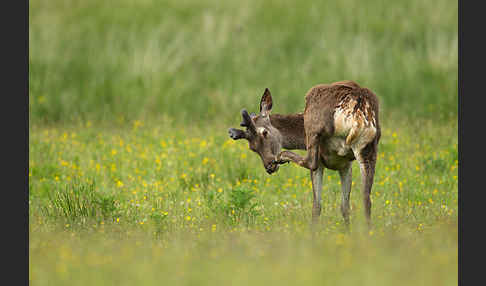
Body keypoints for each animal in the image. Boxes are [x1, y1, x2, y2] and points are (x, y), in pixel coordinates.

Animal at [228, 80, 380, 228]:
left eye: (264, 132)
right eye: (252, 147)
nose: (269, 166)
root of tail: (357, 110)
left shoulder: (326, 161)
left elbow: (317, 205)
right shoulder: (345, 165)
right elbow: (344, 207)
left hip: (314, 129)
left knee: (311, 163)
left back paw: (282, 156)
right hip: (368, 147)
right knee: (366, 199)